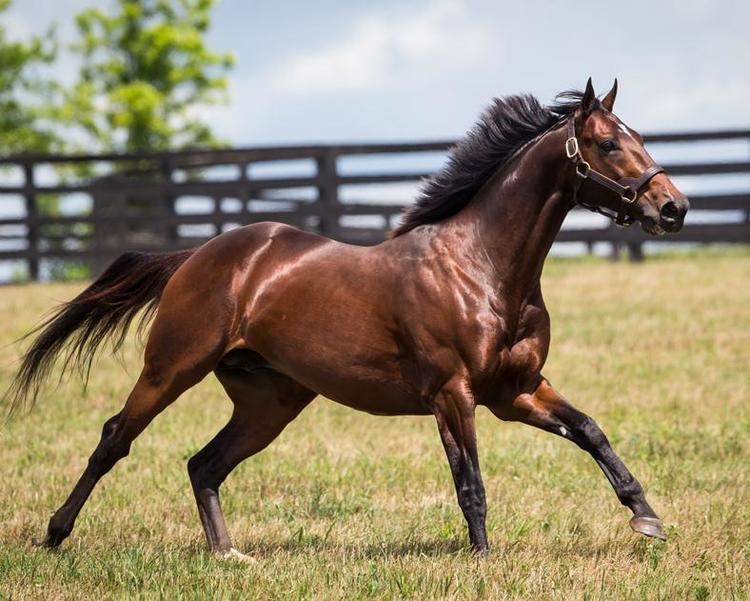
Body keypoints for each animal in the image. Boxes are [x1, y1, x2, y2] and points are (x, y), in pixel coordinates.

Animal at [7, 79, 688, 556]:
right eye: (608, 144)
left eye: (641, 137)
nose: (674, 208)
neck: (483, 268)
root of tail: (196, 256)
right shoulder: (454, 395)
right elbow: (471, 484)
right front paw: (483, 560)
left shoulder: (515, 391)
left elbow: (591, 431)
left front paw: (647, 518)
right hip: (171, 368)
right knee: (115, 439)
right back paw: (56, 533)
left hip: (270, 401)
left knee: (204, 464)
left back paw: (228, 554)